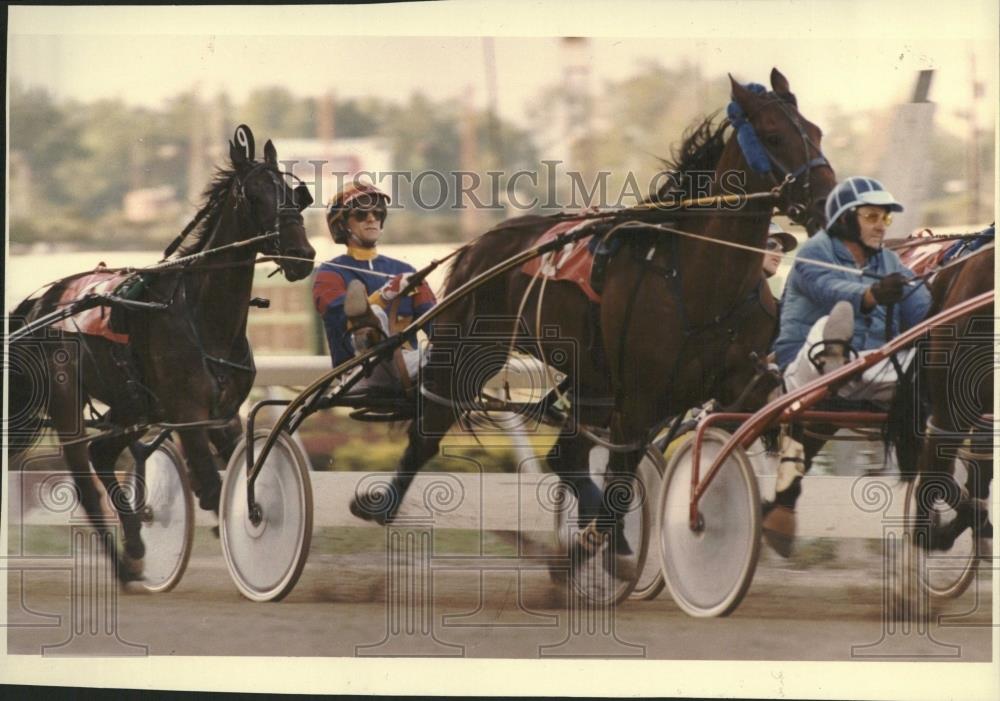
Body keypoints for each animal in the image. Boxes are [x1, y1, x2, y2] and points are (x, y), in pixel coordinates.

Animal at [9, 127, 314, 584]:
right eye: (254, 195)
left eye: (292, 192)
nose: (302, 255)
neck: (204, 318)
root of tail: (40, 302)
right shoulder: (187, 413)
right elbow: (212, 487)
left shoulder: (223, 413)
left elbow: (239, 469)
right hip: (67, 401)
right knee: (85, 480)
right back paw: (123, 565)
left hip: (133, 404)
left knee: (103, 453)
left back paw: (135, 543)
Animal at [352, 67, 836, 568]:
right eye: (775, 136)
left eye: (817, 132)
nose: (827, 200)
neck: (699, 284)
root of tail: (481, 242)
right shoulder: (641, 397)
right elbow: (621, 478)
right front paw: (601, 543)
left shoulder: (744, 381)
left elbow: (800, 424)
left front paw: (775, 521)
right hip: (471, 350)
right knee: (433, 426)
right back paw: (382, 504)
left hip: (591, 377)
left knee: (567, 454)